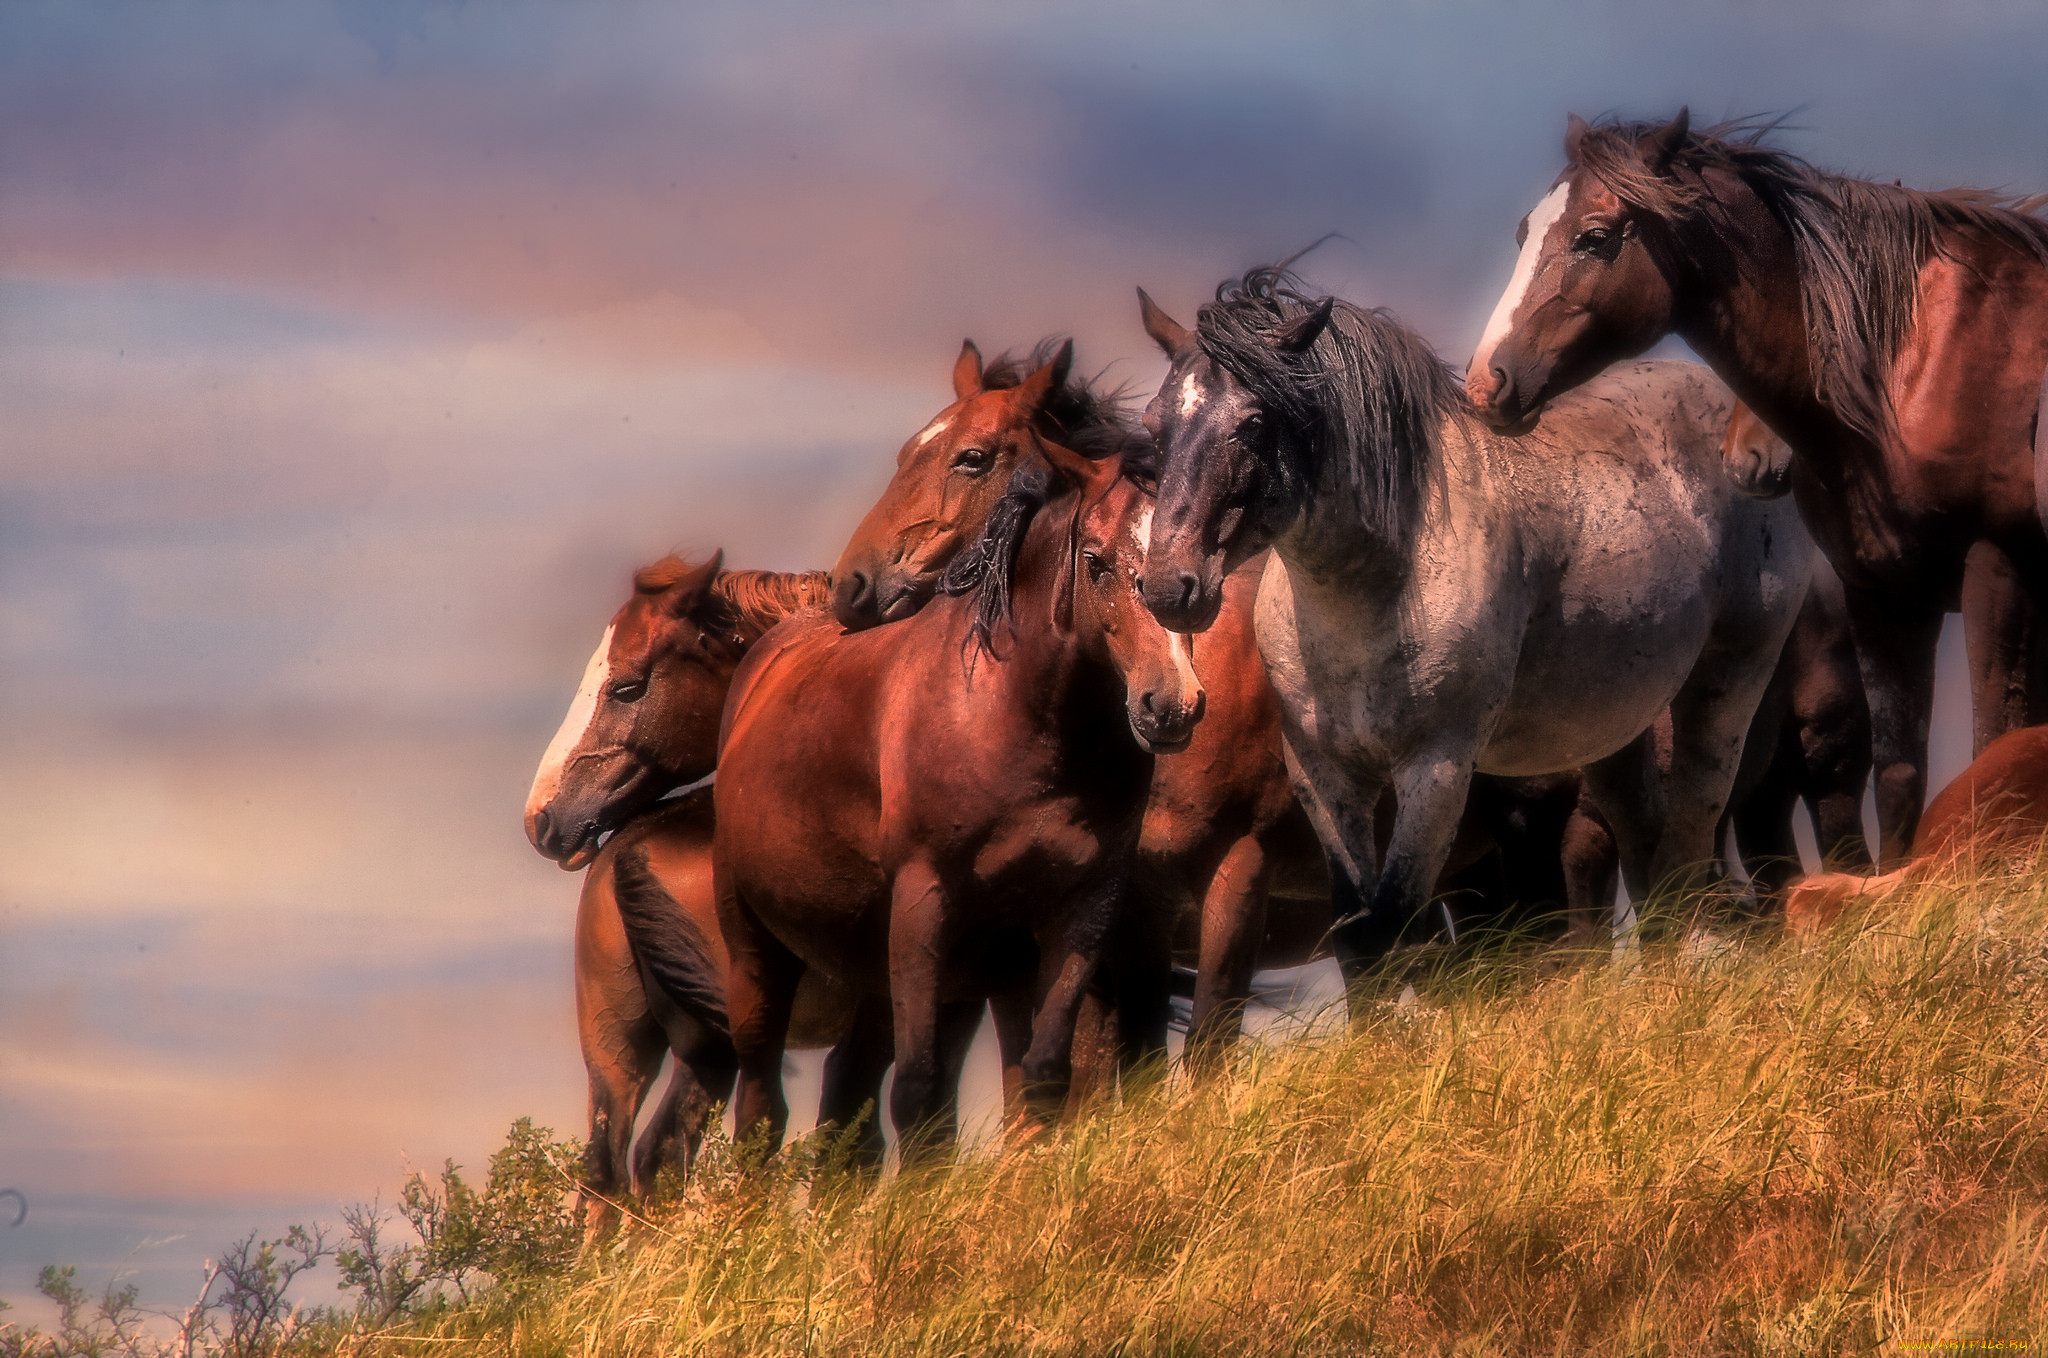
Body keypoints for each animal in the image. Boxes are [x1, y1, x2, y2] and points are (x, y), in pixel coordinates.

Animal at [716, 444, 1204, 1155]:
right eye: (1095, 559)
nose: (1171, 704)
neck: (1010, 723)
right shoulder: (925, 904)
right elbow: (916, 1092)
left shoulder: (1082, 909)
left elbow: (1042, 1078)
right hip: (758, 954)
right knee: (761, 1109)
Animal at [1138, 268, 1810, 987]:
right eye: (1154, 425)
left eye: (1254, 422)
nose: (1168, 585)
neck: (1376, 590)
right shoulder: (1324, 775)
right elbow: (1358, 941)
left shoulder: (1437, 767)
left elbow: (1395, 924)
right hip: (1614, 731)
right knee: (1649, 851)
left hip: (1726, 685)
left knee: (1688, 843)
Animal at [1458, 111, 2048, 864]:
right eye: (1523, 234)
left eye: (1595, 237)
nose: (1487, 382)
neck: (1918, 363)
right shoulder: (1884, 593)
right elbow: (1899, 781)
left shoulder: (2000, 569)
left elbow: (1995, 745)